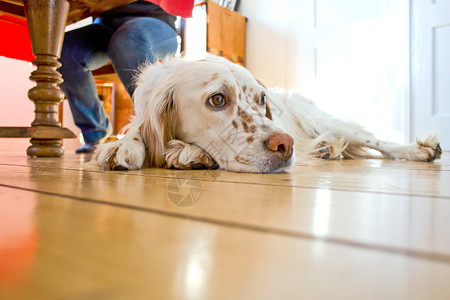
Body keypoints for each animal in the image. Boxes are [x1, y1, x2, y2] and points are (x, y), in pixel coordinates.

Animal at [93, 56, 442, 173]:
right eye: (217, 99)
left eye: (261, 99)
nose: (284, 145)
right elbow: (137, 128)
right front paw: (124, 144)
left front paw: (186, 152)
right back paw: (326, 150)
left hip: (322, 119)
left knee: (374, 140)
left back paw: (419, 150)